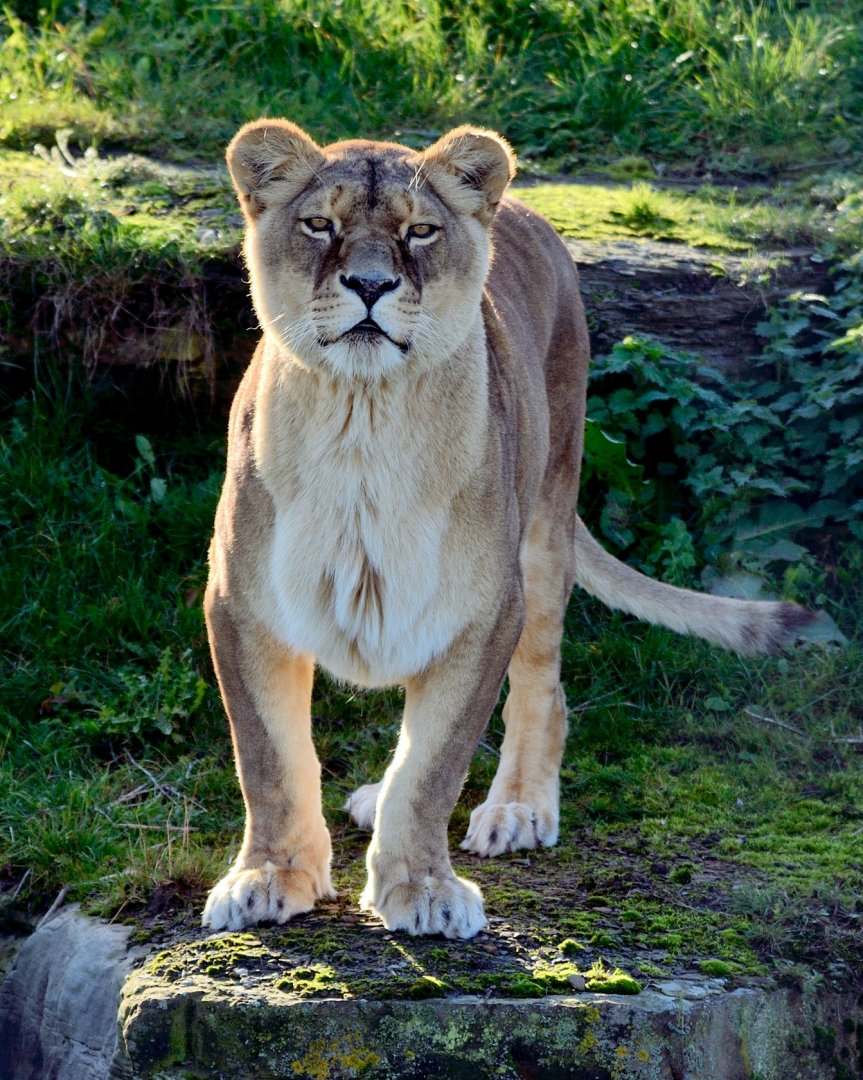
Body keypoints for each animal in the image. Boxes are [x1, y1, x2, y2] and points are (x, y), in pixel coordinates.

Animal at [201, 120, 811, 938]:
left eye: (420, 232)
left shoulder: (485, 610)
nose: (370, 285)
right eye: (320, 225)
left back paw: (517, 808)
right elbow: (269, 758)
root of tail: (523, 209)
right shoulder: (242, 604)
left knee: (542, 687)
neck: (363, 425)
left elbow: (433, 765)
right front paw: (270, 878)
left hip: (546, 528)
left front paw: (421, 888)